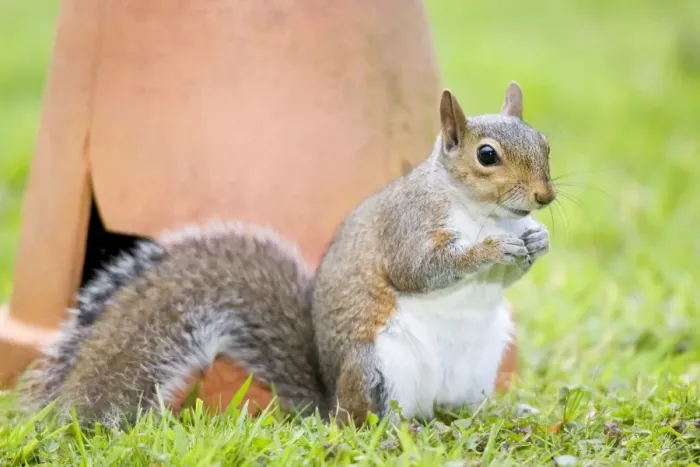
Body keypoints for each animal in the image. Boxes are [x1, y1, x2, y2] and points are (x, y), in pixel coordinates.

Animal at [21, 82, 555, 428]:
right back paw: (399, 431)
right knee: (365, 421)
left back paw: (493, 413)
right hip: (377, 366)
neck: (482, 211)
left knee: (455, 406)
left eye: (545, 143)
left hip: (481, 364)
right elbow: (420, 269)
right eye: (486, 156)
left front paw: (537, 240)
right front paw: (494, 248)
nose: (545, 197)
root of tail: (330, 399)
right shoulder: (409, 226)